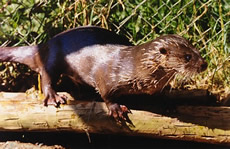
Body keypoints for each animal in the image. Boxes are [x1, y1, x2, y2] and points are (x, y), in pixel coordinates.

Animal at [0, 25, 208, 121]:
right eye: (188, 57)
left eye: (196, 50)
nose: (204, 64)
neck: (136, 68)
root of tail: (43, 46)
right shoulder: (107, 75)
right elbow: (106, 93)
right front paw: (116, 108)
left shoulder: (155, 87)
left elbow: (160, 95)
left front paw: (168, 103)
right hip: (52, 57)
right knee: (46, 77)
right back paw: (54, 96)